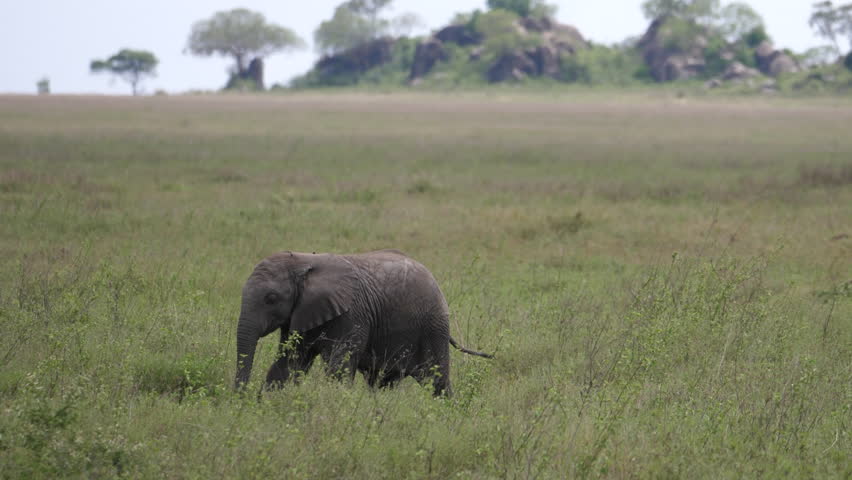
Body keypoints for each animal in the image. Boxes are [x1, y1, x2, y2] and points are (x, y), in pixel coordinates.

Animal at [235, 249, 492, 396]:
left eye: (271, 299)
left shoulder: (351, 314)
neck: (303, 261)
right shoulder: (300, 315)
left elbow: (338, 367)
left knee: (436, 380)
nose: (241, 397)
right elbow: (289, 363)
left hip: (433, 325)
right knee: (383, 382)